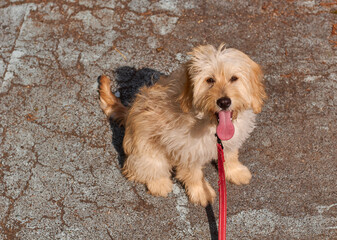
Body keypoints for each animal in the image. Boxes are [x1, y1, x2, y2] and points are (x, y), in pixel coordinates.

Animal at [97, 43, 266, 206]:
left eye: (234, 78)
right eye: (210, 80)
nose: (224, 102)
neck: (209, 123)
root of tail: (128, 112)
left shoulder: (229, 141)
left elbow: (230, 157)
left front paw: (236, 172)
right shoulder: (187, 150)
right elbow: (194, 174)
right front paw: (201, 191)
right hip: (145, 150)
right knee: (145, 168)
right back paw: (159, 184)